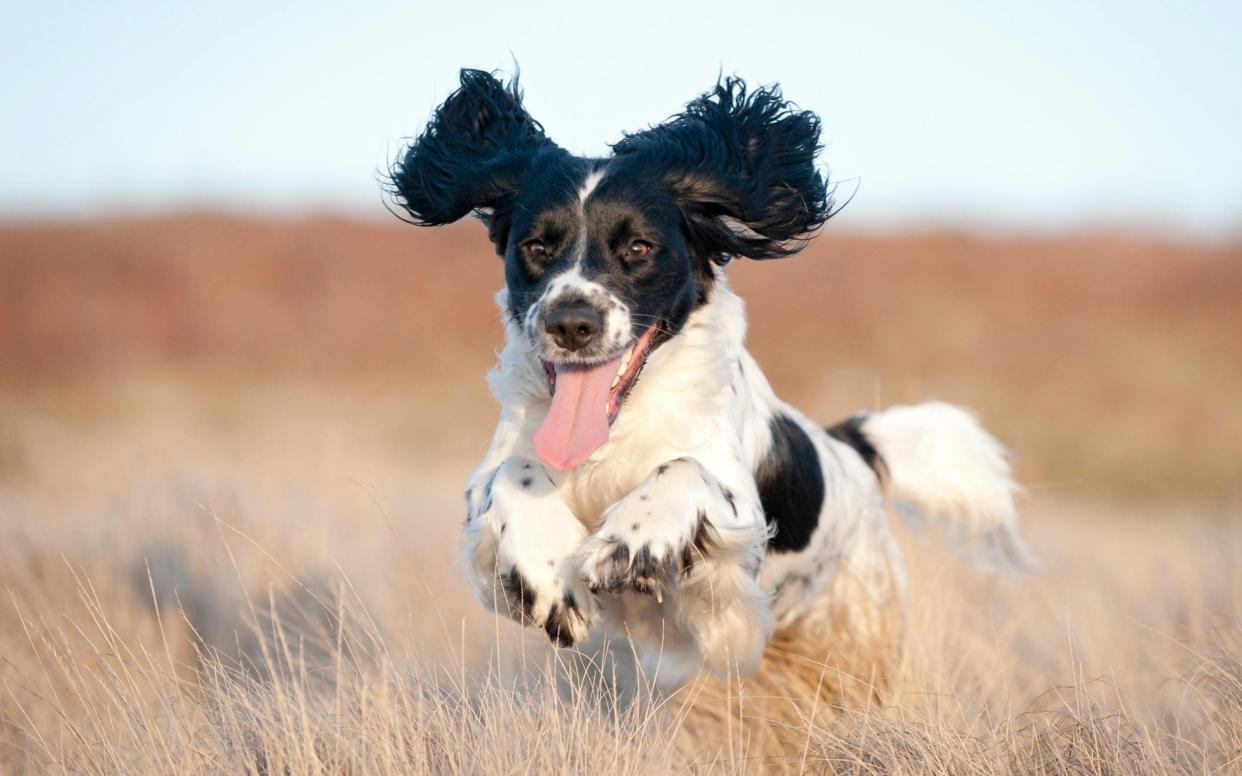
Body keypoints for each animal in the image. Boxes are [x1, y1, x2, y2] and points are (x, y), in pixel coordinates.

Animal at [389, 69, 1038, 695]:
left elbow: (685, 469)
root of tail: (851, 448)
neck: (613, 432)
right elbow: (512, 472)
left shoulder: (735, 540)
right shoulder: (492, 481)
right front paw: (550, 577)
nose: (571, 322)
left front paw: (628, 542)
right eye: (536, 245)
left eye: (639, 246)